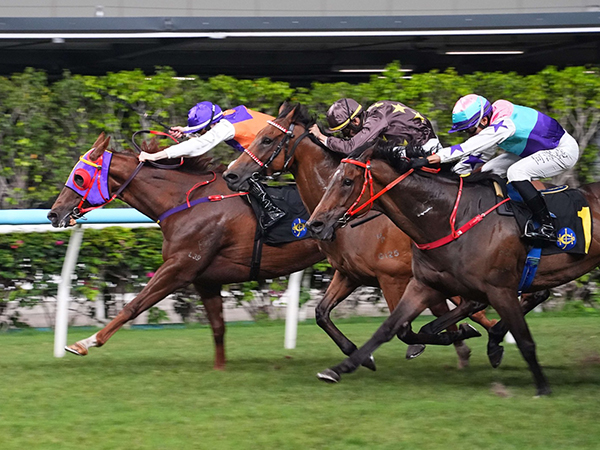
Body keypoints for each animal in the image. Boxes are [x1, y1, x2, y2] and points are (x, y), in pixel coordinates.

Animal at [47, 132, 325, 369]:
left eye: (79, 177)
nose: (54, 214)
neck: (186, 202)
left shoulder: (180, 266)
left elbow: (133, 305)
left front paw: (84, 343)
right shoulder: (205, 279)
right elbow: (218, 326)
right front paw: (219, 368)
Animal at [223, 102, 498, 370]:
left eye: (267, 139)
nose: (230, 175)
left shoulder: (393, 278)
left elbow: (405, 328)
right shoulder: (349, 274)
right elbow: (321, 313)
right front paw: (362, 356)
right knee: (474, 308)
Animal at [305, 141, 600, 395]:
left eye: (346, 181)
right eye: (332, 179)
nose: (315, 225)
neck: (450, 217)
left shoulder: (499, 288)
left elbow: (525, 340)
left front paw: (543, 387)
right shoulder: (422, 283)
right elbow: (391, 328)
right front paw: (341, 367)